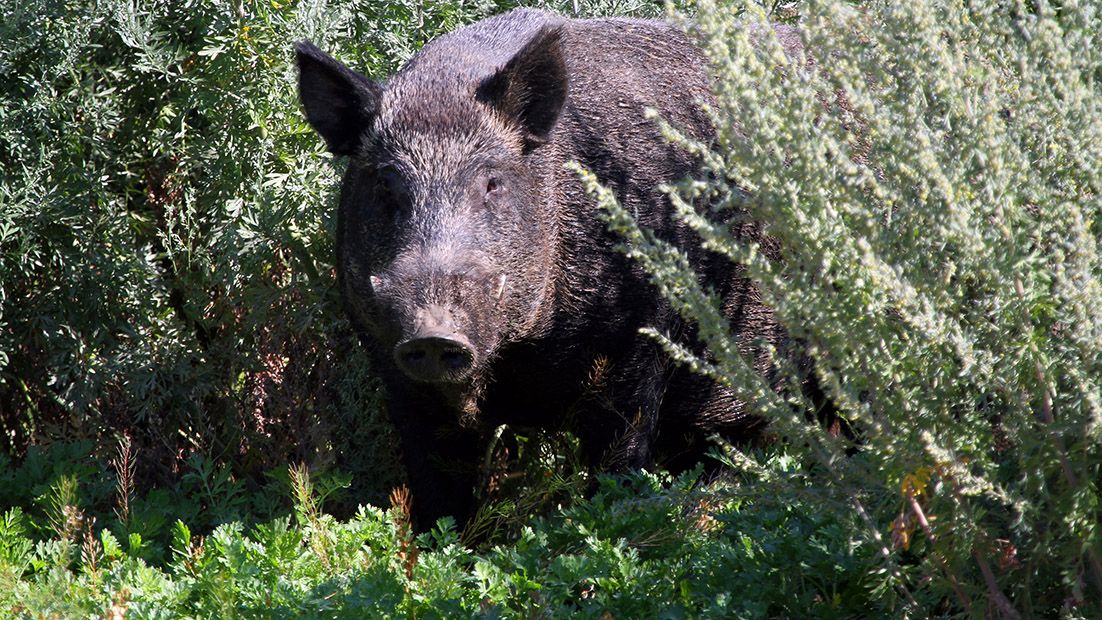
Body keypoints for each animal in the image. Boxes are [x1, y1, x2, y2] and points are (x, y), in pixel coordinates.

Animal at [296, 8, 784, 529]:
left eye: (492, 183)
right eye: (386, 185)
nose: (435, 333)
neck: (517, 362)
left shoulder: (639, 343)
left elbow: (619, 465)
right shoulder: (393, 365)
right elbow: (438, 488)